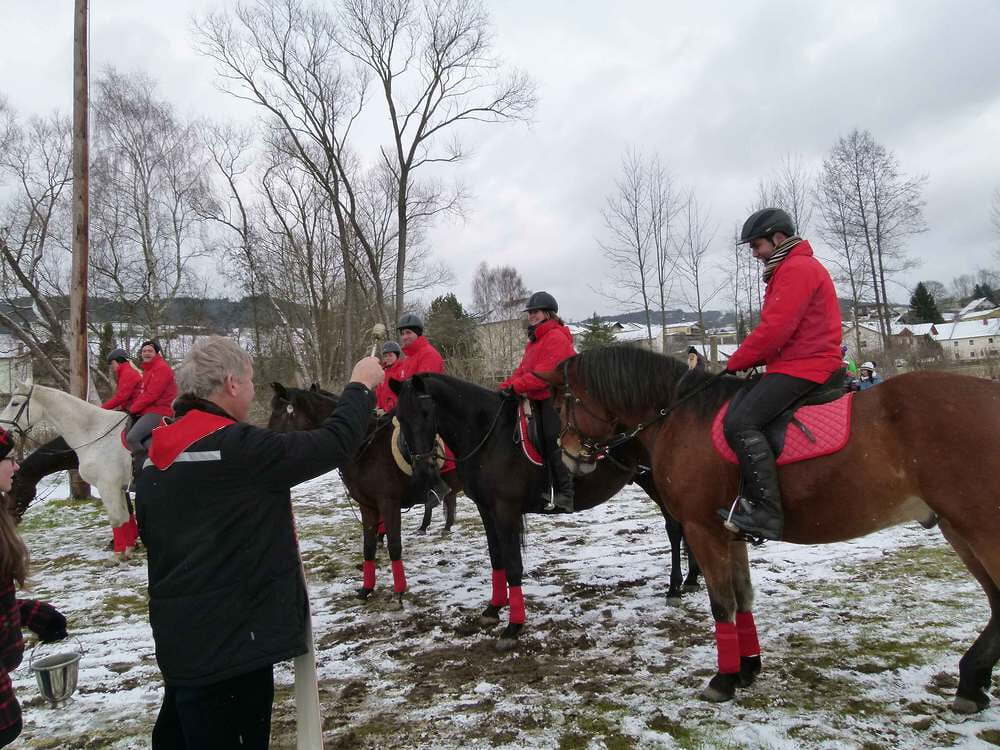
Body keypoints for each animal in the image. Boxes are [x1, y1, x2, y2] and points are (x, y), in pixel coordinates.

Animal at [0, 383, 132, 553]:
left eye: (15, 403)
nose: (11, 518)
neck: (94, 433)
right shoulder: (119, 487)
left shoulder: (109, 486)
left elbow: (120, 518)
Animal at [268, 383, 460, 600]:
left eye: (279, 413)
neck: (367, 448)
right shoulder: (367, 506)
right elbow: (368, 547)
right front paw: (366, 588)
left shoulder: (389, 504)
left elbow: (395, 545)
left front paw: (399, 591)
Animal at [391, 373, 699, 650]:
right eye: (400, 417)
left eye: (426, 412)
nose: (422, 468)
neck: (488, 434)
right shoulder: (486, 510)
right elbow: (496, 558)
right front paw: (493, 608)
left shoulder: (505, 510)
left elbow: (513, 564)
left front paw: (514, 626)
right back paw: (691, 579)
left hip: (656, 482)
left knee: (674, 529)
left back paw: (675, 587)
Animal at [544, 344, 1000, 713]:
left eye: (564, 402)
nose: (567, 453)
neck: (681, 415)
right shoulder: (730, 533)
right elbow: (744, 597)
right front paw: (748, 668)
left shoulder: (702, 529)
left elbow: (722, 603)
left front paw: (724, 679)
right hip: (958, 529)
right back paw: (971, 682)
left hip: (981, 528)